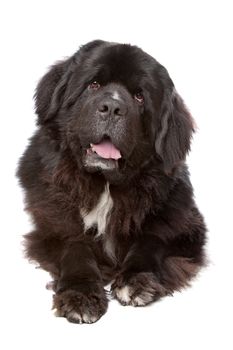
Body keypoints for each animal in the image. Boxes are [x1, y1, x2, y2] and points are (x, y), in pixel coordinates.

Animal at [17, 39, 206, 324]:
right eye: (93, 84)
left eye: (139, 96)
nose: (113, 107)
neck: (105, 186)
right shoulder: (52, 226)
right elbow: (75, 247)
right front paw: (81, 294)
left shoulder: (185, 225)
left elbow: (152, 239)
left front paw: (135, 280)